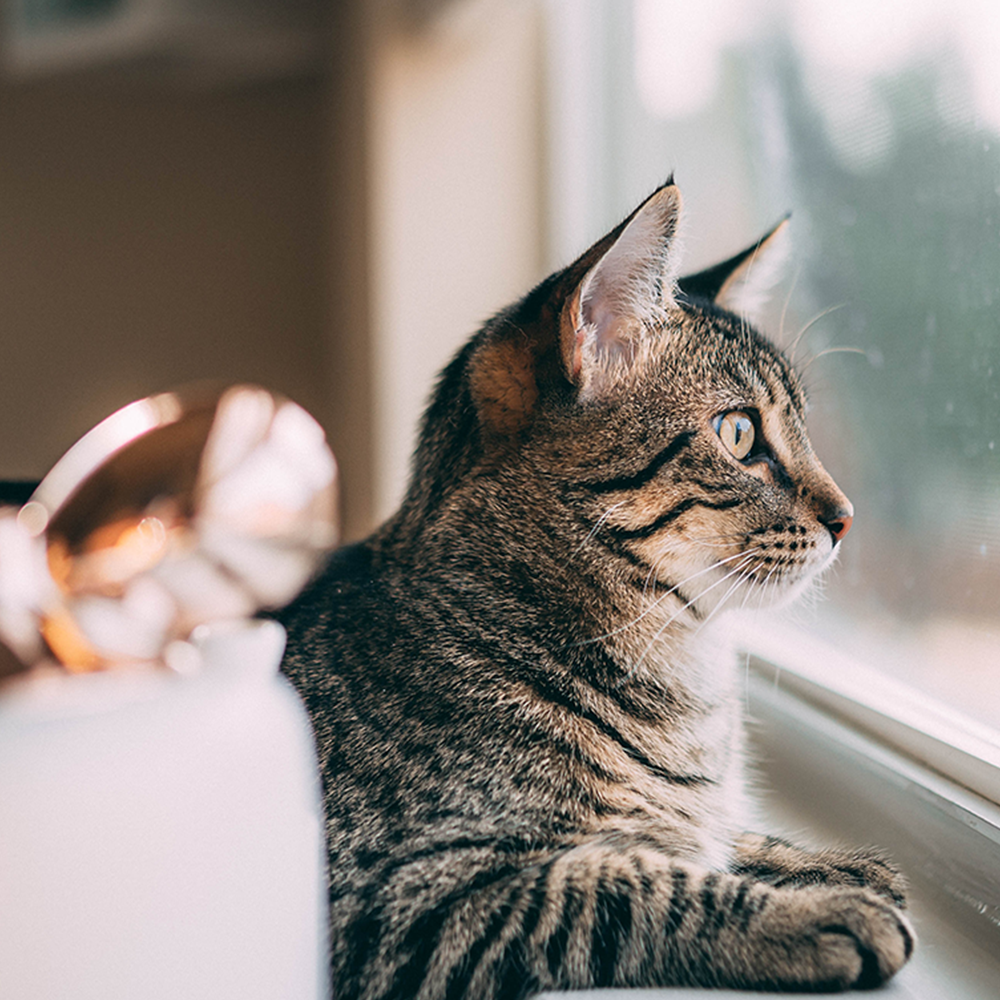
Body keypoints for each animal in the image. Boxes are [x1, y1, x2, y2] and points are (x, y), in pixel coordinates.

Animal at [280, 184, 916, 996]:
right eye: (740, 434)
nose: (846, 517)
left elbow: (712, 837)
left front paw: (820, 864)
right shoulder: (394, 905)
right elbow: (629, 883)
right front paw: (812, 913)